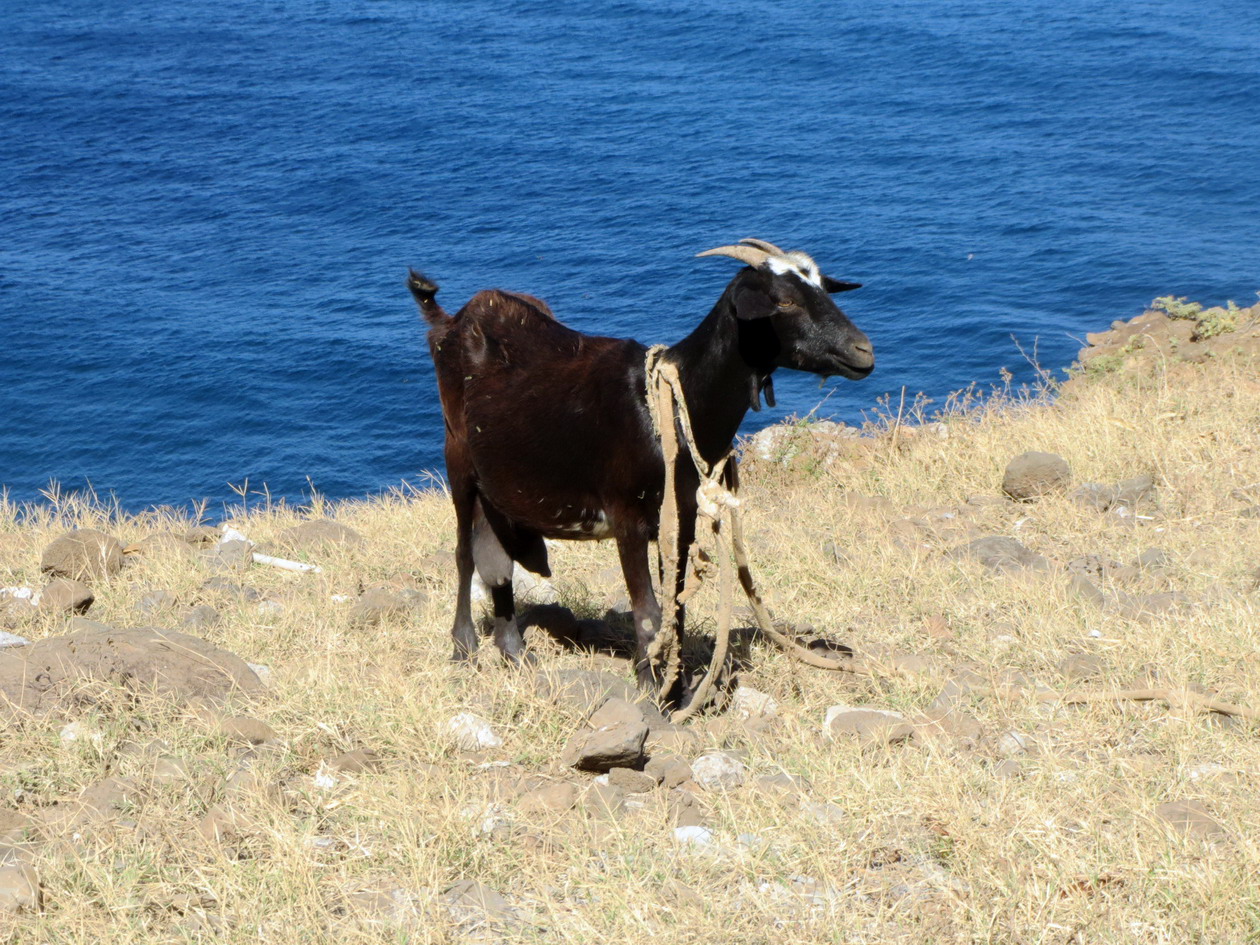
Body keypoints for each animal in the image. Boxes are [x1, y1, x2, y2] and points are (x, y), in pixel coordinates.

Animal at [408, 236, 871, 695]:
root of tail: (451, 322)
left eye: (823, 289)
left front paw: (678, 688)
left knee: (497, 559)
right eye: (784, 301)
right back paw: (464, 648)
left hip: (499, 483)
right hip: (458, 458)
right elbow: (647, 611)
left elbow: (676, 608)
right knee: (465, 555)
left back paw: (513, 651)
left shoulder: (680, 518)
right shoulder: (625, 516)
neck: (670, 406)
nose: (864, 351)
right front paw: (654, 692)